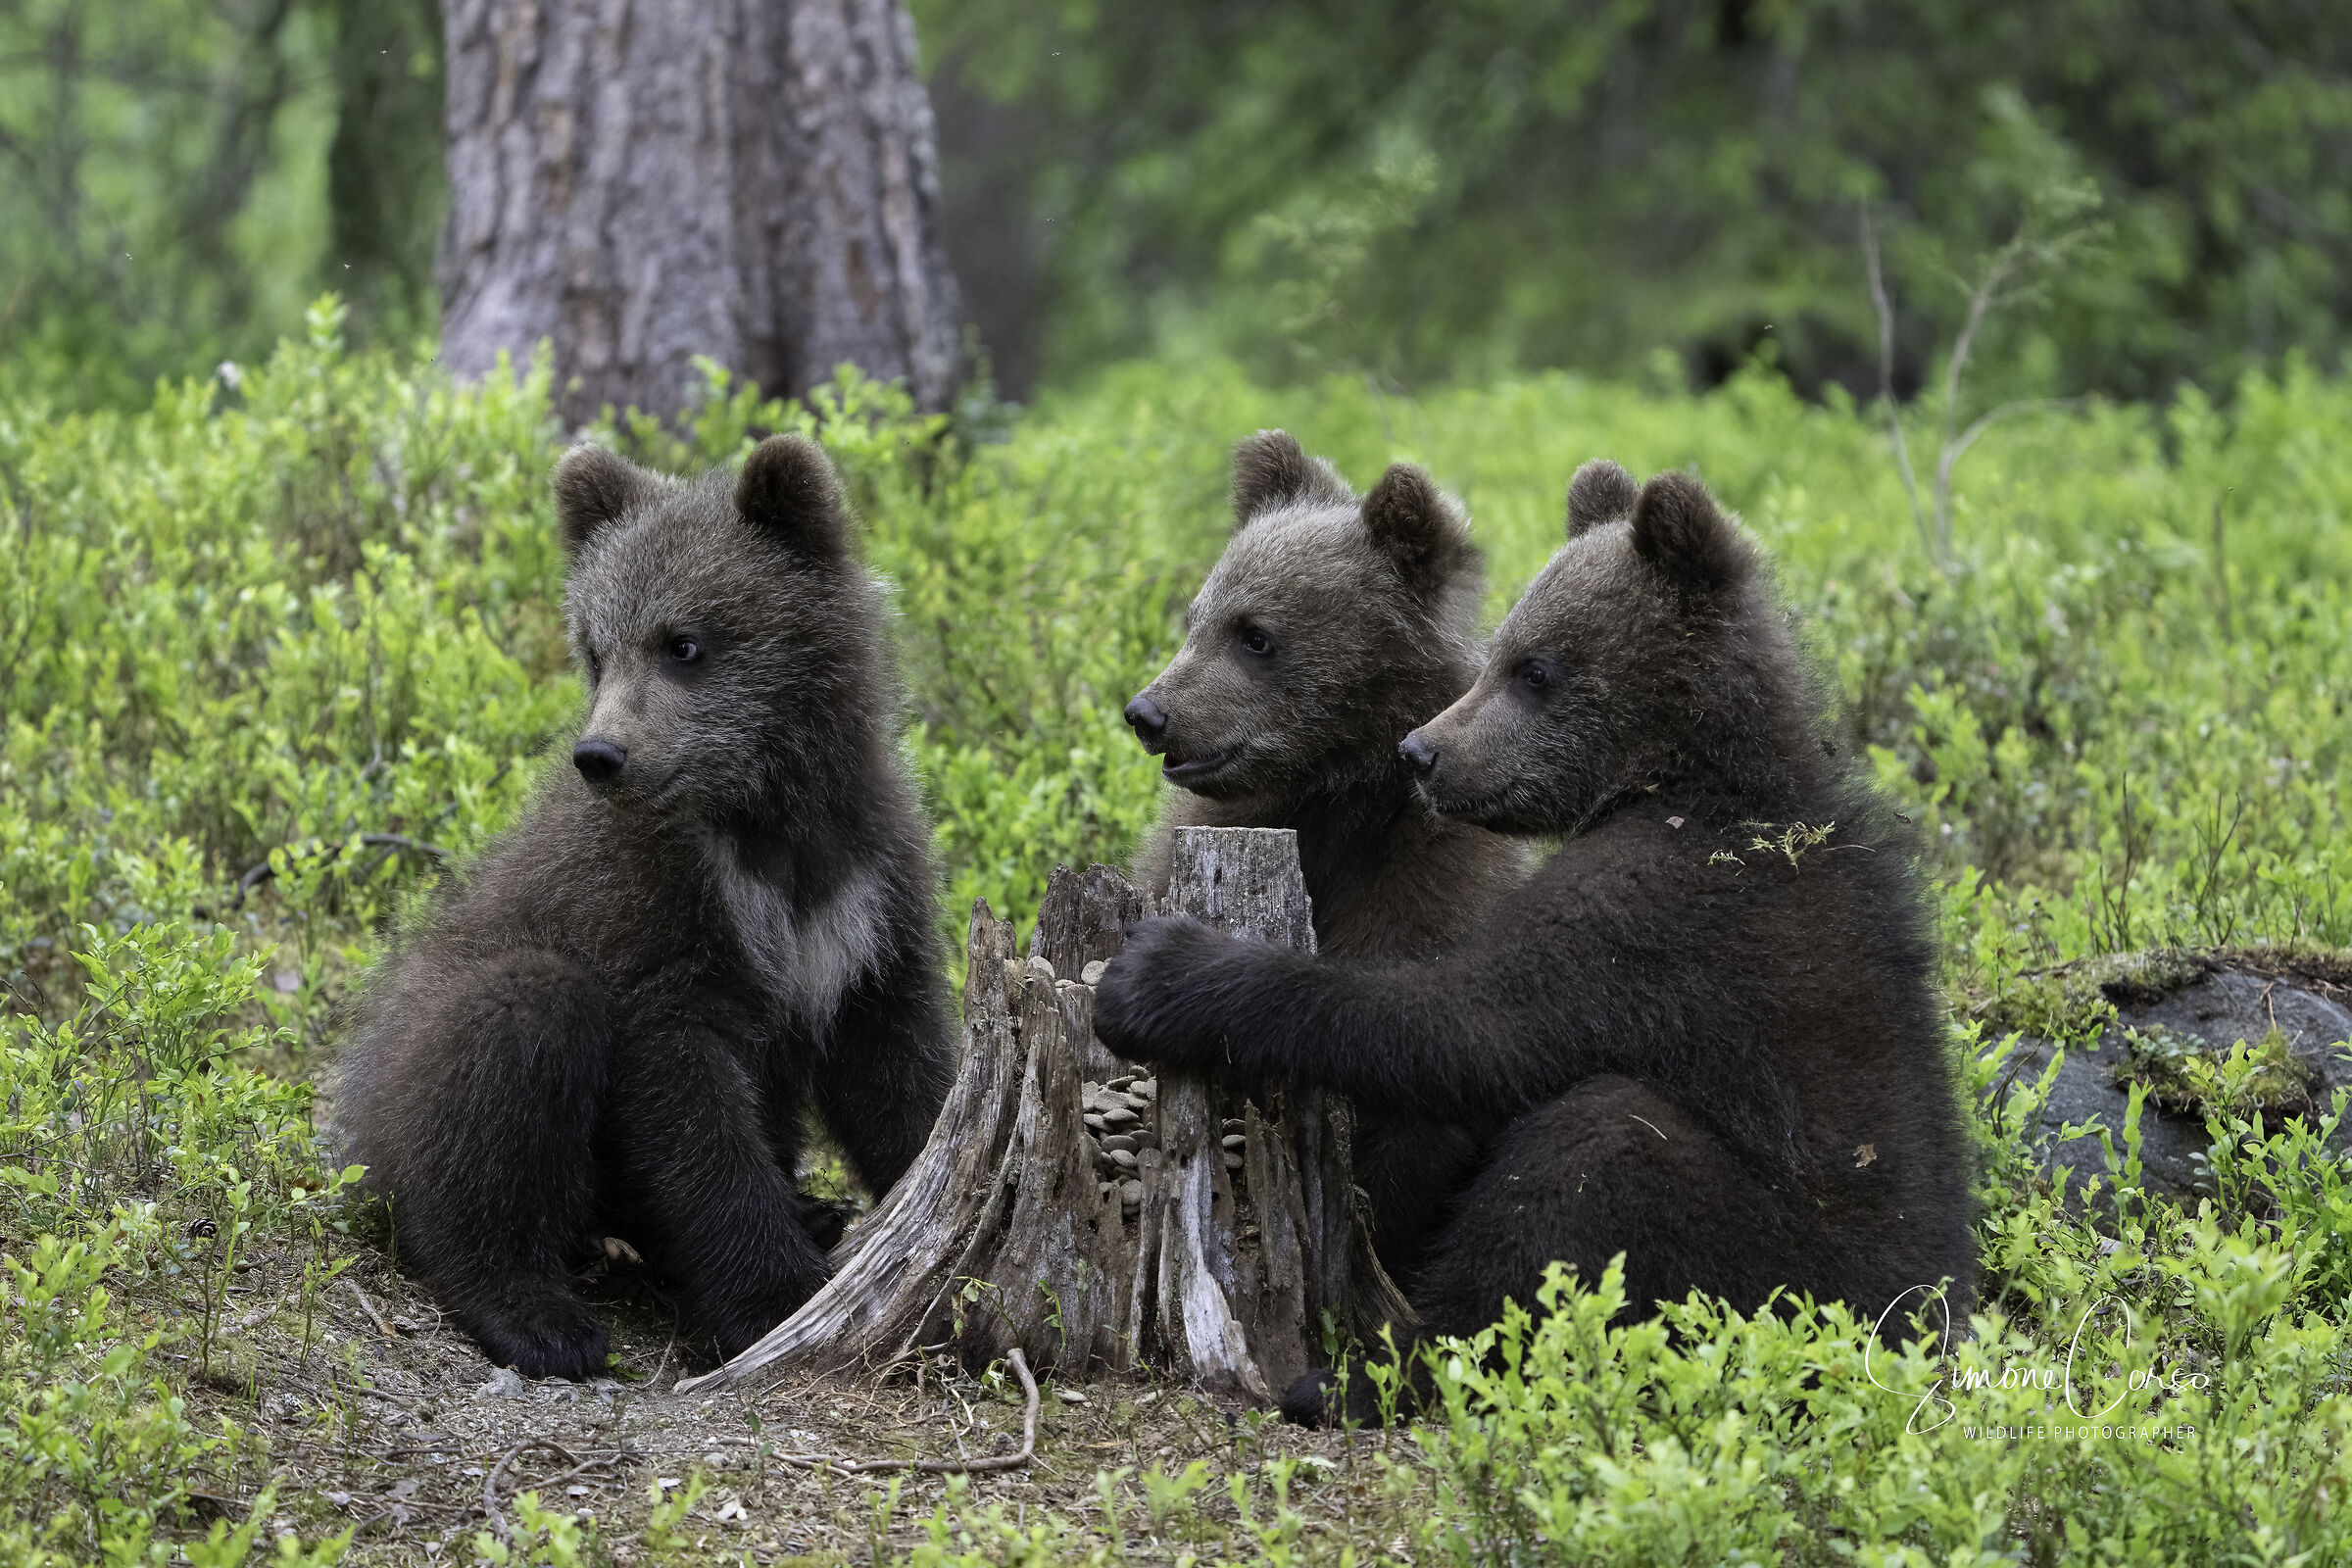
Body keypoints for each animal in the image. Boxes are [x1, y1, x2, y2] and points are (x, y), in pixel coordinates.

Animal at [335, 434, 954, 1380]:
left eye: (682, 642)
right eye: (596, 648)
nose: (603, 753)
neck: (761, 818)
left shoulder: (862, 893)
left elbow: (894, 1062)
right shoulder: (651, 915)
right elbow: (688, 1104)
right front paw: (774, 1294)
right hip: (420, 1051)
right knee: (514, 1034)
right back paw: (539, 1313)